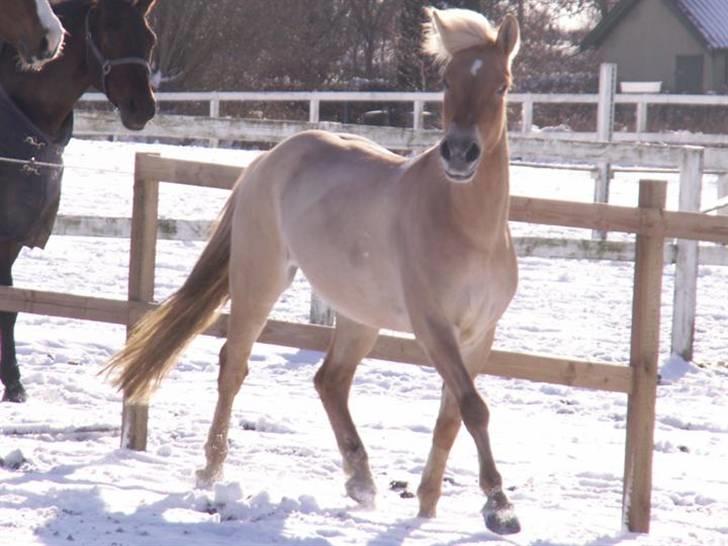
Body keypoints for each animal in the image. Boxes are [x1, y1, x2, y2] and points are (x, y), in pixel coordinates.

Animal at [0, 0, 158, 400]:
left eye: (149, 39)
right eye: (110, 32)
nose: (142, 108)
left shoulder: (13, 237)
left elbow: (10, 304)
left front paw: (14, 383)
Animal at [105, 7, 524, 536]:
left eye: (502, 86)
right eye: (447, 82)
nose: (460, 154)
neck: (470, 229)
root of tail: (267, 159)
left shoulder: (479, 334)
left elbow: (454, 415)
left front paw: (429, 505)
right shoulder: (434, 328)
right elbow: (473, 406)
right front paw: (499, 506)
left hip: (359, 315)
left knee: (331, 381)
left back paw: (361, 480)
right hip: (260, 280)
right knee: (234, 366)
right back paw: (211, 470)